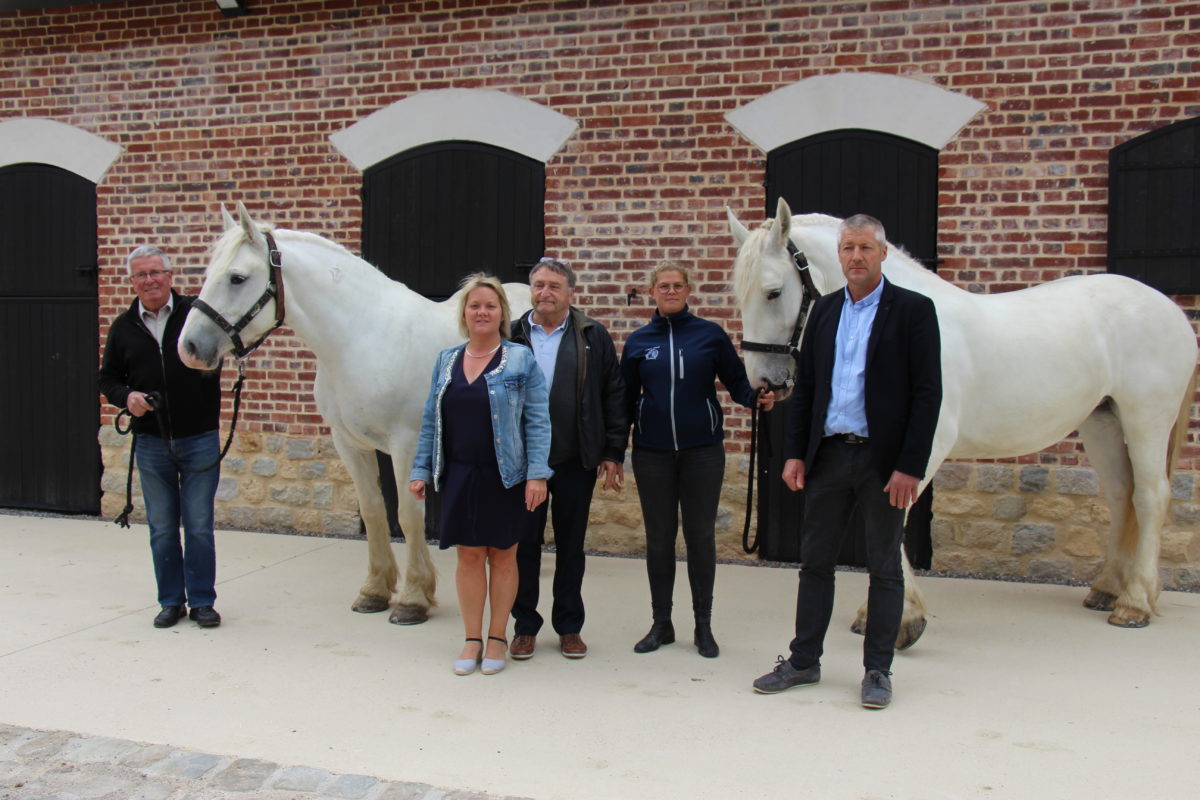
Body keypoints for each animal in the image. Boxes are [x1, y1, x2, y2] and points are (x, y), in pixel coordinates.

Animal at [176, 201, 530, 623]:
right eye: (208, 273)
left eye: (237, 278)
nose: (190, 347)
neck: (360, 338)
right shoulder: (349, 443)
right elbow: (375, 512)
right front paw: (375, 591)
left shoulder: (407, 443)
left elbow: (408, 516)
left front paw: (413, 597)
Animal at [724, 196, 1195, 642]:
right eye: (739, 296)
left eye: (772, 292)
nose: (765, 383)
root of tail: (1171, 310)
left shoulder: (922, 443)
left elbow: (895, 513)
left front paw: (901, 618)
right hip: (1102, 422)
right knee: (1120, 494)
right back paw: (1107, 589)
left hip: (1146, 418)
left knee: (1150, 497)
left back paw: (1134, 603)